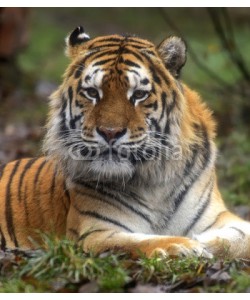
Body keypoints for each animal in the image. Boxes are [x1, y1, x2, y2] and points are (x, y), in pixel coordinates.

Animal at [0, 25, 250, 258]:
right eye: (92, 92)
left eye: (139, 94)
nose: (110, 132)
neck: (156, 184)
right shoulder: (95, 232)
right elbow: (140, 241)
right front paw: (184, 245)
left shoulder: (220, 217)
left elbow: (240, 238)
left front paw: (202, 242)